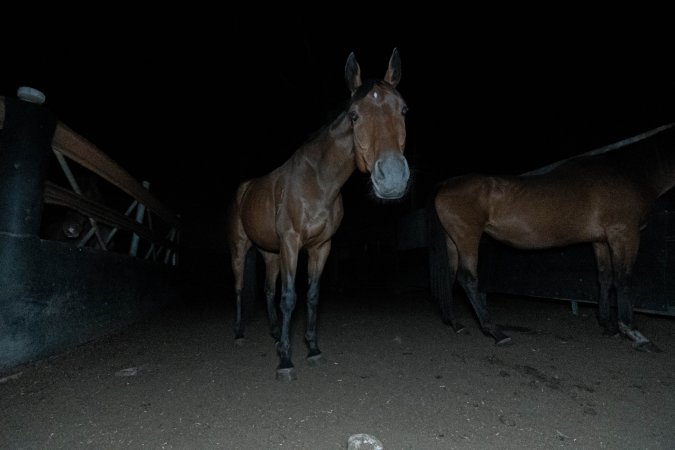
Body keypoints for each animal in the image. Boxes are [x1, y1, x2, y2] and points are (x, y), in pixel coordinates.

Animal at [227, 49, 410, 380]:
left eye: (403, 110)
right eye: (354, 115)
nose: (392, 178)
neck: (317, 181)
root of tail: (243, 190)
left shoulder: (320, 247)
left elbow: (312, 295)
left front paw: (312, 349)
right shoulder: (291, 243)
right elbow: (290, 298)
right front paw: (285, 362)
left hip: (269, 254)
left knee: (267, 291)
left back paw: (276, 334)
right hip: (239, 249)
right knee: (238, 290)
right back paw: (239, 334)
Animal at [430, 123, 672, 352]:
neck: (628, 172)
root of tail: (446, 184)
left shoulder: (601, 241)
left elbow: (605, 278)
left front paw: (607, 325)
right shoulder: (624, 234)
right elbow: (624, 279)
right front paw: (635, 334)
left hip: (453, 240)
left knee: (450, 275)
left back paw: (455, 324)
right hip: (467, 236)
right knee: (467, 278)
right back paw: (497, 332)